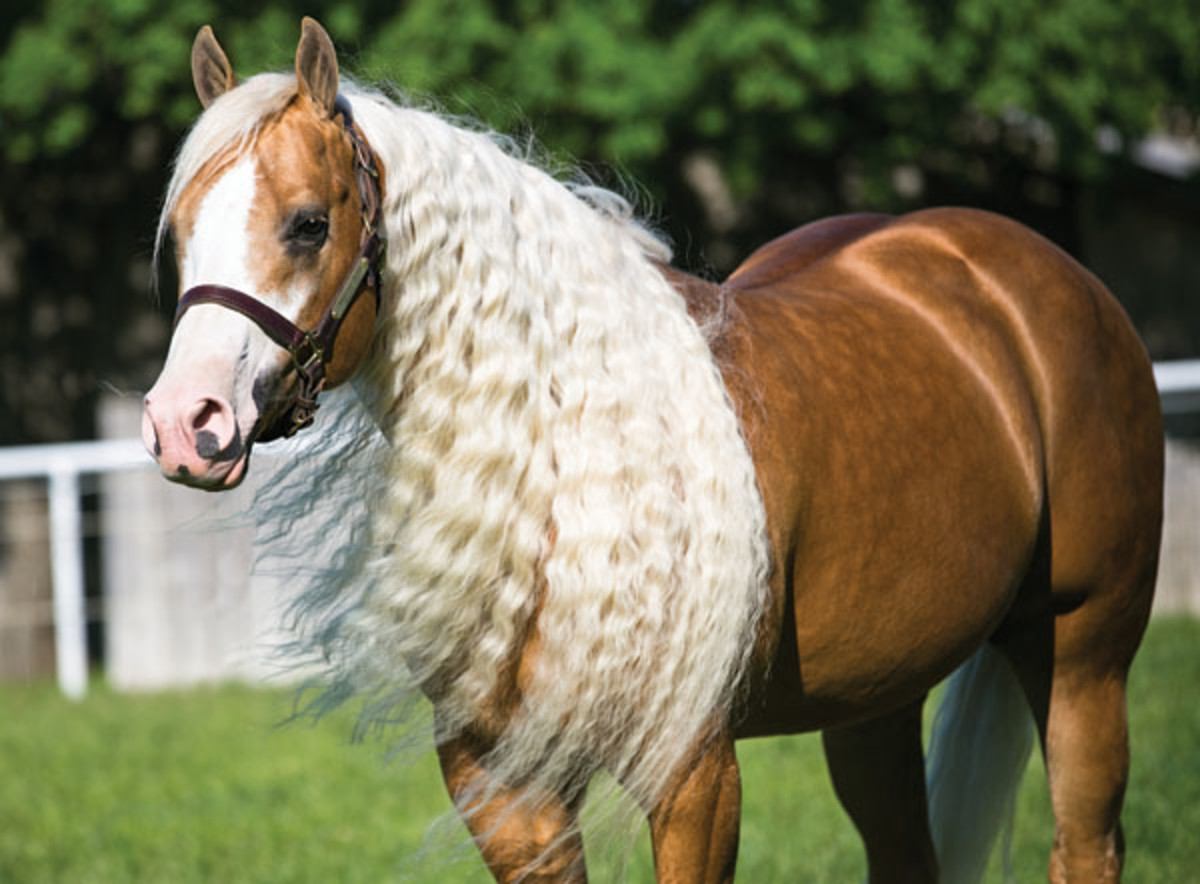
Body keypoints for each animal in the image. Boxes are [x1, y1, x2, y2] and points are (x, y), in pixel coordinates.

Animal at [142, 15, 1161, 882]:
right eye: (181, 233)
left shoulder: (693, 772)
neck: (572, 467)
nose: (187, 425)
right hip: (877, 698)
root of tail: (1024, 269)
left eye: (309, 223)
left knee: (1086, 842)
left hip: (1083, 657)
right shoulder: (502, 784)